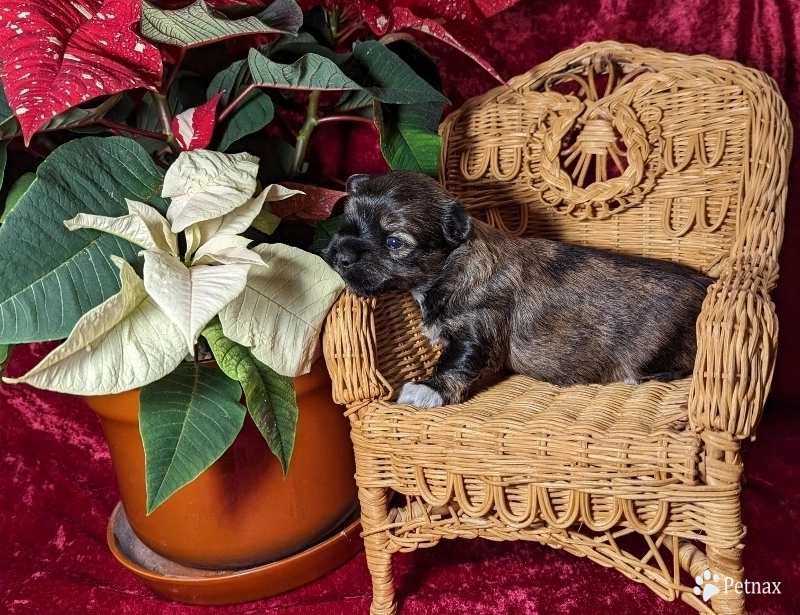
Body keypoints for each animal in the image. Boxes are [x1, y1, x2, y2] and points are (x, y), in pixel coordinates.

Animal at [322, 171, 708, 410]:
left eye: (393, 242)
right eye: (347, 223)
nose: (337, 255)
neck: (450, 265)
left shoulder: (475, 330)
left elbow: (456, 362)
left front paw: (428, 389)